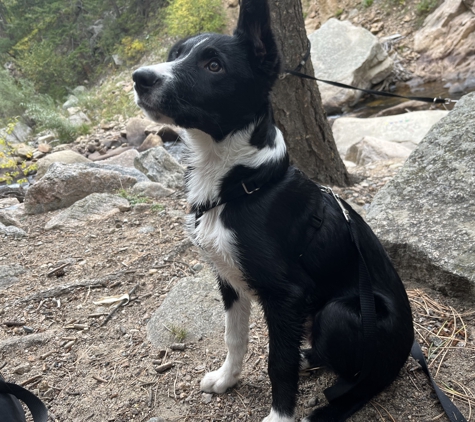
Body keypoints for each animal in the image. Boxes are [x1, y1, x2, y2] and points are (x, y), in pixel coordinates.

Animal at [133, 1, 412, 420]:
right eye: (175, 54)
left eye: (213, 65)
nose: (139, 78)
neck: (242, 183)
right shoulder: (229, 279)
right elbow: (234, 338)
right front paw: (226, 379)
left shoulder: (285, 297)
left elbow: (278, 363)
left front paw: (280, 414)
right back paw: (309, 356)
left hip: (341, 313)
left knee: (361, 380)